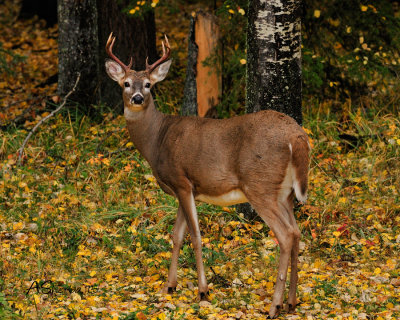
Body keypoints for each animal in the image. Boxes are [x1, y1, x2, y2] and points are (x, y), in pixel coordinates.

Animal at [105, 32, 310, 318]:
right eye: (125, 83)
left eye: (147, 84)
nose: (136, 98)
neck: (156, 139)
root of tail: (297, 136)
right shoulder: (187, 189)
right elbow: (176, 236)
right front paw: (169, 286)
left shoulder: (182, 181)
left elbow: (195, 237)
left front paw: (203, 291)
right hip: (286, 193)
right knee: (297, 232)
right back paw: (291, 301)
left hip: (260, 185)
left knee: (286, 234)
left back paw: (274, 306)